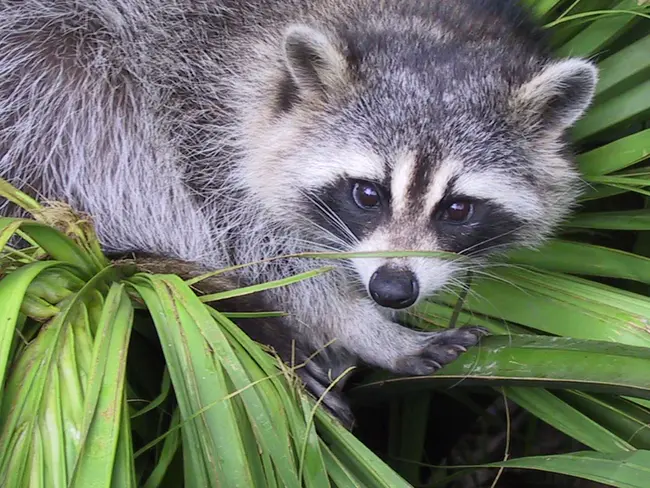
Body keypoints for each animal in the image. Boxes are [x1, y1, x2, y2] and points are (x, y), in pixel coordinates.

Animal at [0, 0, 592, 426]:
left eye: (458, 208)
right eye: (367, 194)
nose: (391, 290)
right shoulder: (197, 102)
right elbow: (259, 248)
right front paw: (362, 327)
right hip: (46, 68)